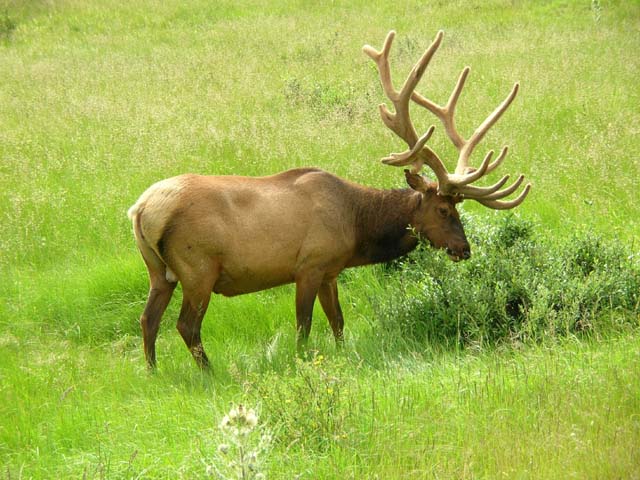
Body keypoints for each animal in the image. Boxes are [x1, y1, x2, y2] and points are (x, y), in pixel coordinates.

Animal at [126, 29, 528, 368]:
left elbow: (338, 322)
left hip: (158, 270)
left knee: (148, 319)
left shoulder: (331, 270)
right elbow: (303, 326)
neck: (356, 227)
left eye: (460, 207)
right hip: (198, 268)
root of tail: (140, 209)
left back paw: (152, 371)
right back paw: (208, 373)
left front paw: (341, 354)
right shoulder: (309, 264)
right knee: (186, 325)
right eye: (444, 209)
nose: (464, 249)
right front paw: (304, 361)